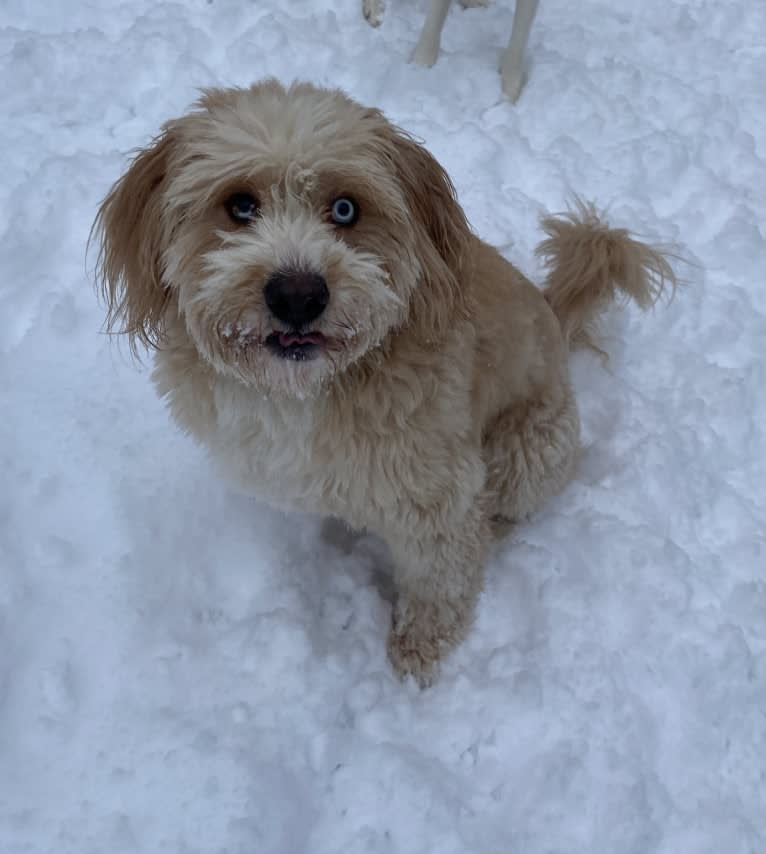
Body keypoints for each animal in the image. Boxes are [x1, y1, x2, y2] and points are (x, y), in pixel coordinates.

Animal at [93, 80, 676, 688]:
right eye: (240, 205)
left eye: (345, 208)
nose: (298, 295)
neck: (308, 391)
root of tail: (555, 317)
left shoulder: (439, 493)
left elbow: (441, 577)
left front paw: (420, 648)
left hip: (528, 449)